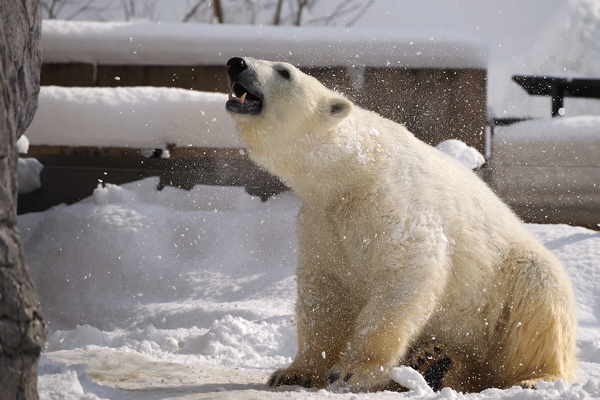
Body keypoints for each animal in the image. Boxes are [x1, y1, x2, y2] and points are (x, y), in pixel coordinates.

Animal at [225, 57, 576, 394]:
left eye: (284, 72)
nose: (235, 63)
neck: (354, 168)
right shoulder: (322, 222)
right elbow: (325, 294)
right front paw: (293, 372)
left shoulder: (389, 203)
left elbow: (405, 273)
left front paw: (352, 371)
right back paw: (435, 361)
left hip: (508, 281)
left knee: (539, 305)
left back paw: (531, 378)